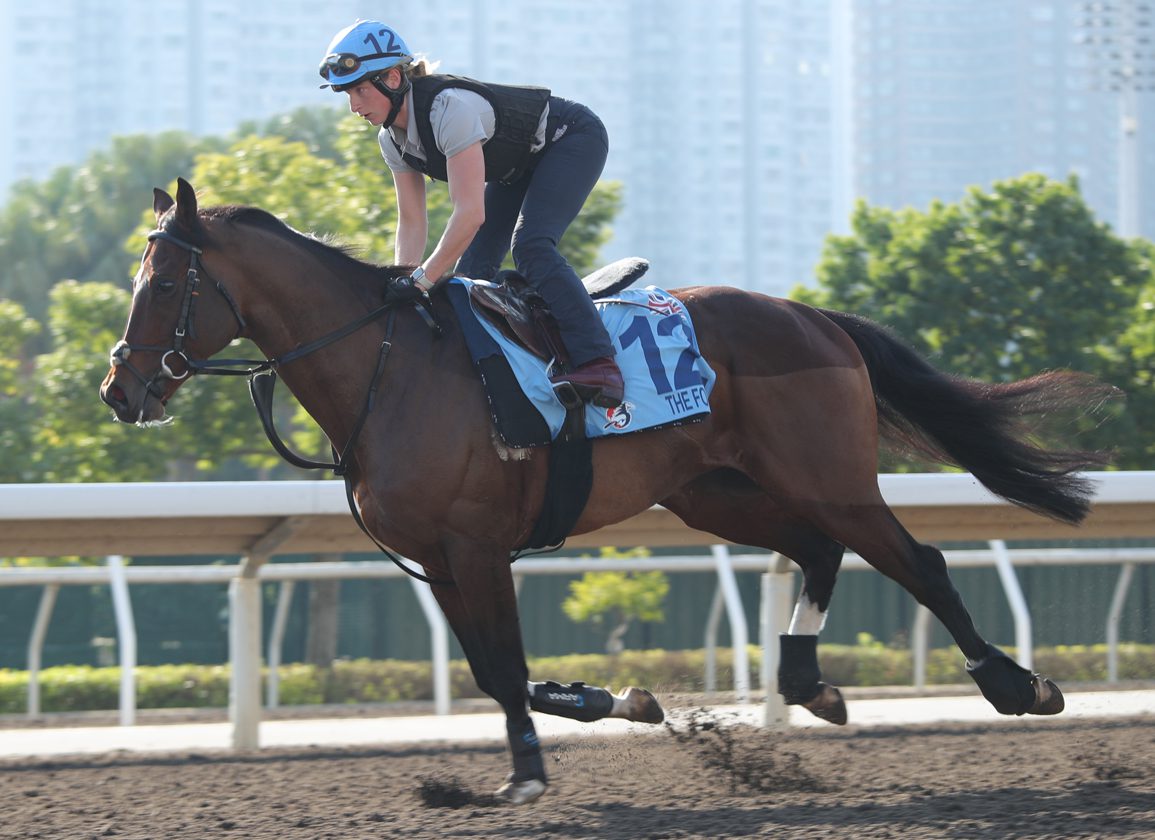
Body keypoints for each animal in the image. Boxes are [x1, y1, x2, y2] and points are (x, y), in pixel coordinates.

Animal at [103, 180, 1113, 804]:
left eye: (166, 281)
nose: (121, 388)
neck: (389, 369)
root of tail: (809, 313)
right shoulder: (437, 558)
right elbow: (493, 671)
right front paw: (618, 701)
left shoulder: (475, 546)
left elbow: (505, 665)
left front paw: (527, 776)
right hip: (714, 490)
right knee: (818, 549)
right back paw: (807, 683)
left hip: (828, 476)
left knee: (918, 559)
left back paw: (1016, 685)